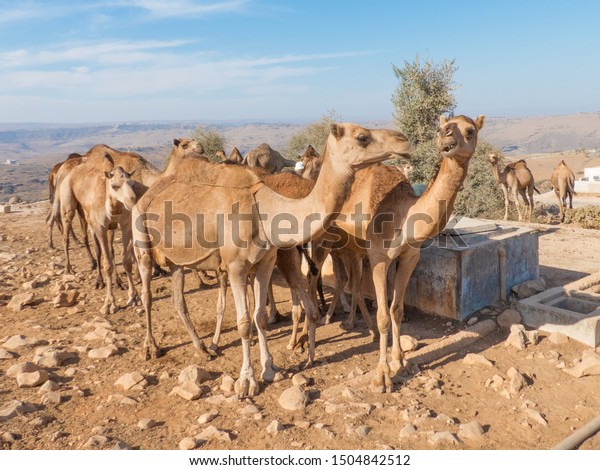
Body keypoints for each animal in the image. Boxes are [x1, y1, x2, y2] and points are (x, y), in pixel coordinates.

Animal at [133, 122, 410, 396]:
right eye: (362, 137)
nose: (403, 140)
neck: (265, 208)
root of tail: (149, 192)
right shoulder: (235, 267)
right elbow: (244, 322)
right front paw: (247, 381)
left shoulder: (265, 261)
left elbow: (260, 317)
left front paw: (269, 369)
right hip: (141, 237)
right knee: (147, 292)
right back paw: (151, 347)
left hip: (177, 261)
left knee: (178, 299)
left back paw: (201, 348)